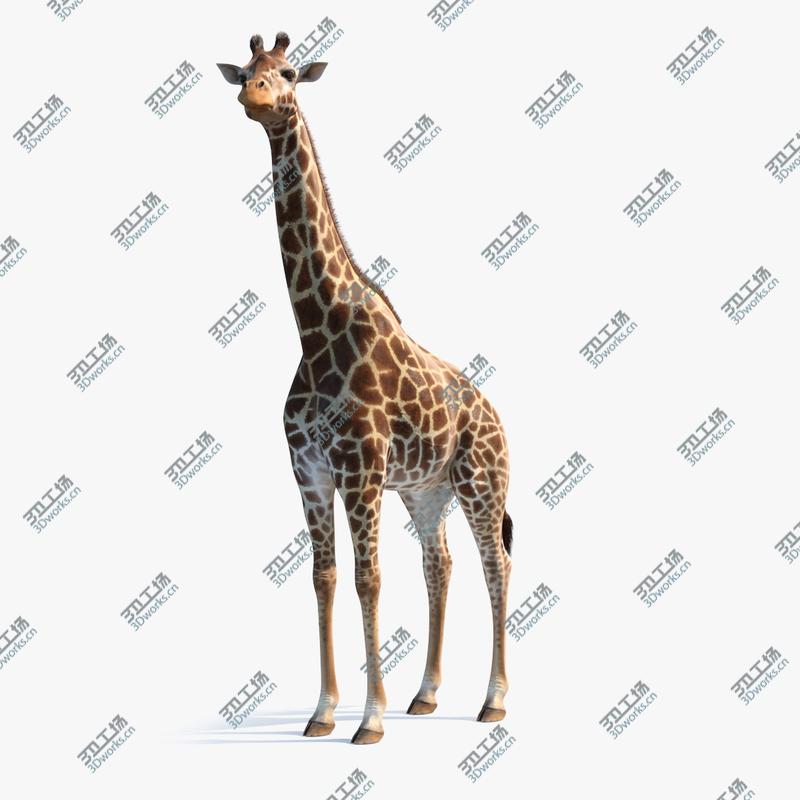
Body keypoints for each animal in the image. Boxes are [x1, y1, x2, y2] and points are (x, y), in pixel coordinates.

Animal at [218, 32, 514, 745]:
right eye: (244, 73)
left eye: (288, 72)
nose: (255, 99)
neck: (313, 328)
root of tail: (497, 415)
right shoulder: (309, 470)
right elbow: (324, 576)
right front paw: (325, 712)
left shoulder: (360, 468)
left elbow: (367, 578)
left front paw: (370, 719)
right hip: (427, 492)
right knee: (441, 564)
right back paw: (426, 695)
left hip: (482, 481)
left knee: (496, 564)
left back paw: (493, 701)